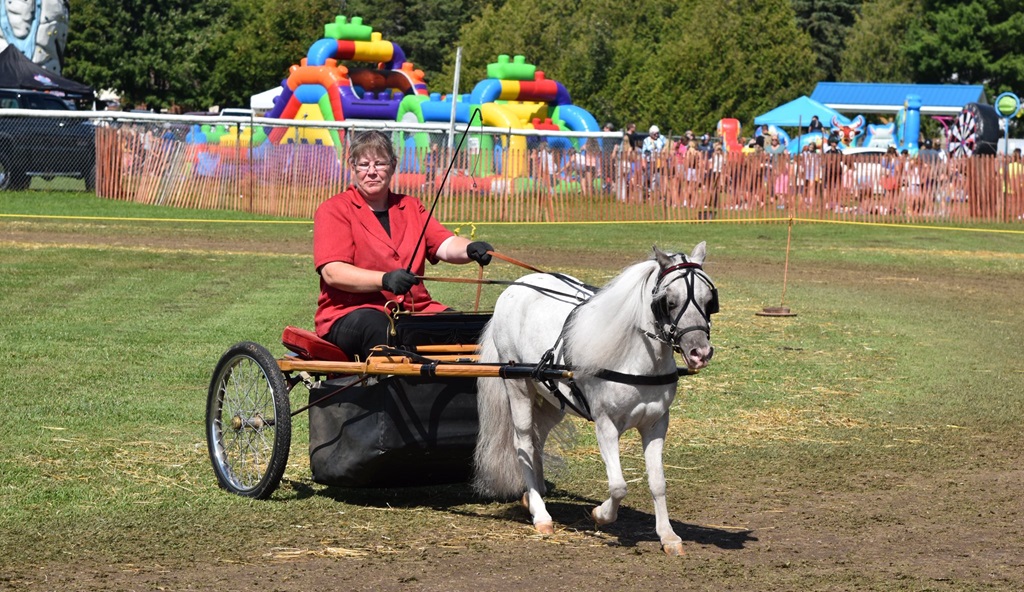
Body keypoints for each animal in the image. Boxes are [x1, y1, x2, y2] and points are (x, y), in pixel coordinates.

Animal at [473, 243, 718, 556]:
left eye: (709, 299)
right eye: (669, 301)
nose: (700, 352)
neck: (637, 359)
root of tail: (516, 287)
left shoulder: (656, 425)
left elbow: (658, 482)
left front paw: (668, 535)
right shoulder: (606, 426)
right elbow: (618, 486)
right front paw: (601, 514)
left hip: (554, 399)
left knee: (539, 438)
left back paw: (533, 494)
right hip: (518, 386)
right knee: (524, 444)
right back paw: (541, 514)